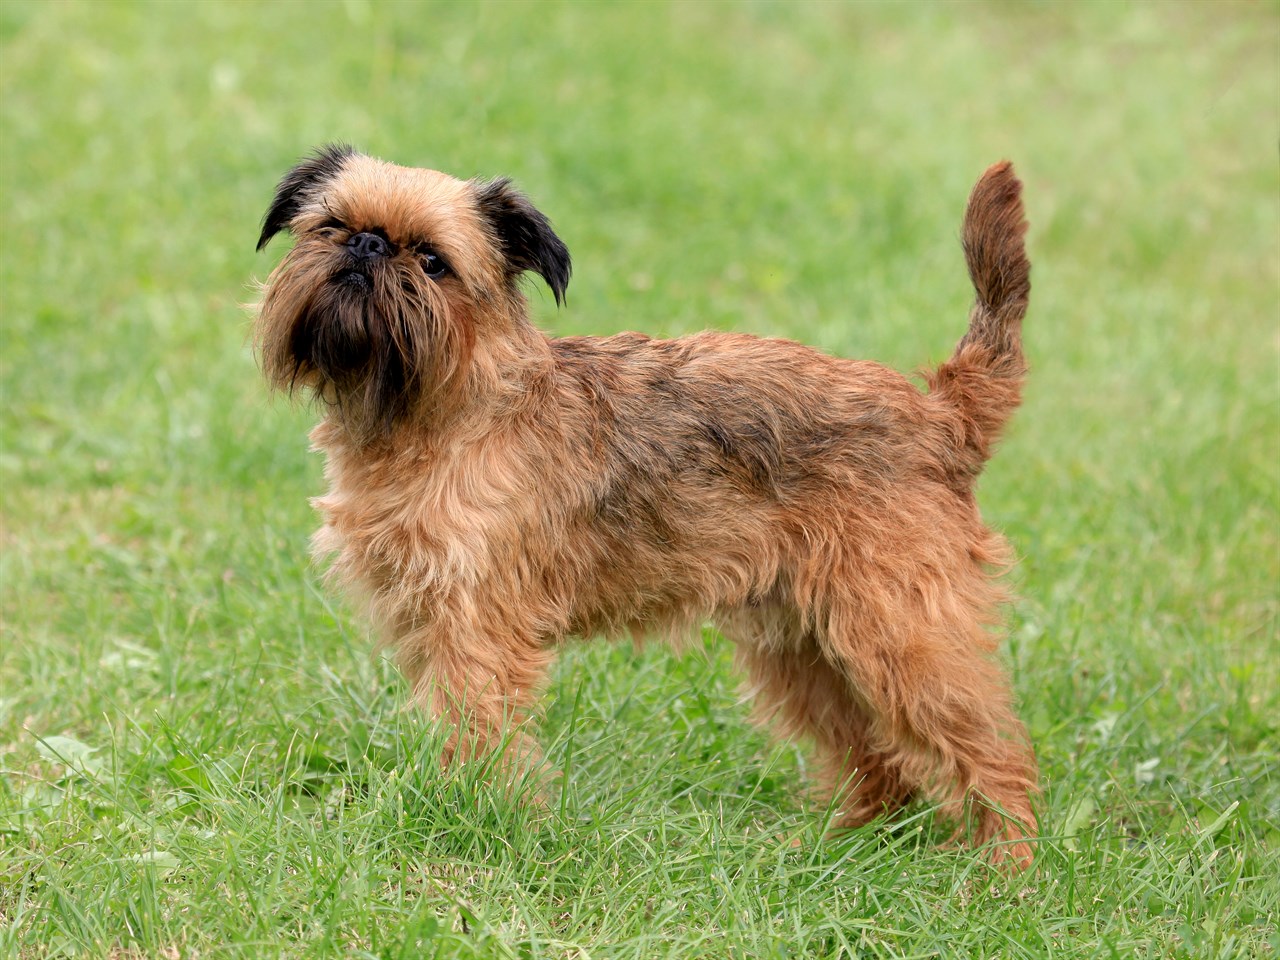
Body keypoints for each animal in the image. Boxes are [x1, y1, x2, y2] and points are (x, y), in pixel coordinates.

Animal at [252, 144, 1039, 870]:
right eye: (330, 226)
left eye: (432, 261)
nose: (367, 246)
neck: (445, 407)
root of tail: (940, 413)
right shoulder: (425, 620)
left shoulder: (474, 627)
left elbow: (477, 728)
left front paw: (475, 821)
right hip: (802, 645)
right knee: (877, 755)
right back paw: (838, 848)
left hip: (901, 634)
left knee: (993, 752)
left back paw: (1004, 871)